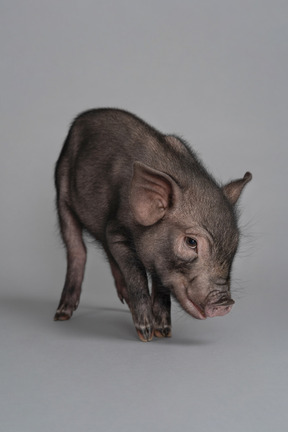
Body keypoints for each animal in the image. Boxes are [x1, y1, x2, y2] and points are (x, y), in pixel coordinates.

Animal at [54, 107, 252, 340]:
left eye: (234, 244)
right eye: (191, 242)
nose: (225, 302)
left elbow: (161, 283)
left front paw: (164, 332)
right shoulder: (115, 228)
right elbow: (136, 273)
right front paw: (146, 334)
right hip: (61, 190)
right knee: (77, 250)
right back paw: (61, 315)